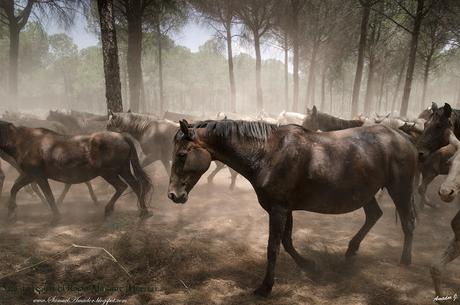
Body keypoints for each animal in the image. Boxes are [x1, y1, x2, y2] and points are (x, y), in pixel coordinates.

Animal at [0, 120, 154, 222]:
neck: (24, 141)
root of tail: (122, 136)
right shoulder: (30, 175)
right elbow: (15, 188)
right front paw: (11, 211)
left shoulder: (37, 176)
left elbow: (48, 196)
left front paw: (56, 216)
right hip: (123, 170)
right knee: (135, 185)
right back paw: (143, 211)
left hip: (109, 173)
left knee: (122, 186)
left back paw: (109, 210)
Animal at [168, 118, 416, 294]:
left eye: (181, 155)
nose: (173, 195)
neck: (268, 153)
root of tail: (402, 137)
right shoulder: (284, 209)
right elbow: (287, 242)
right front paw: (308, 265)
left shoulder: (278, 210)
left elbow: (273, 247)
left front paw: (265, 287)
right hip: (366, 193)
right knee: (374, 215)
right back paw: (351, 250)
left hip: (400, 189)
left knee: (408, 223)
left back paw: (405, 262)